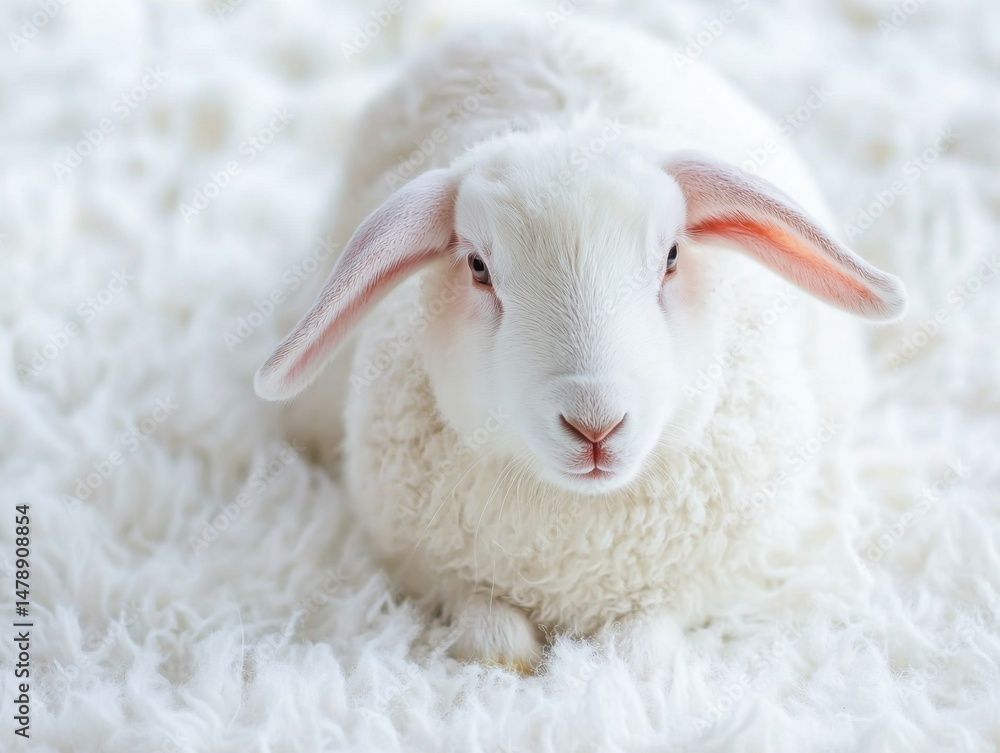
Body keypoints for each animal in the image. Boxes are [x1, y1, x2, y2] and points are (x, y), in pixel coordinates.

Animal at [254, 16, 906, 672]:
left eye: (672, 257)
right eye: (478, 268)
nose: (595, 424)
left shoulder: (708, 582)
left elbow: (640, 642)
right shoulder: (427, 571)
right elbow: (490, 635)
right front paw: (514, 657)